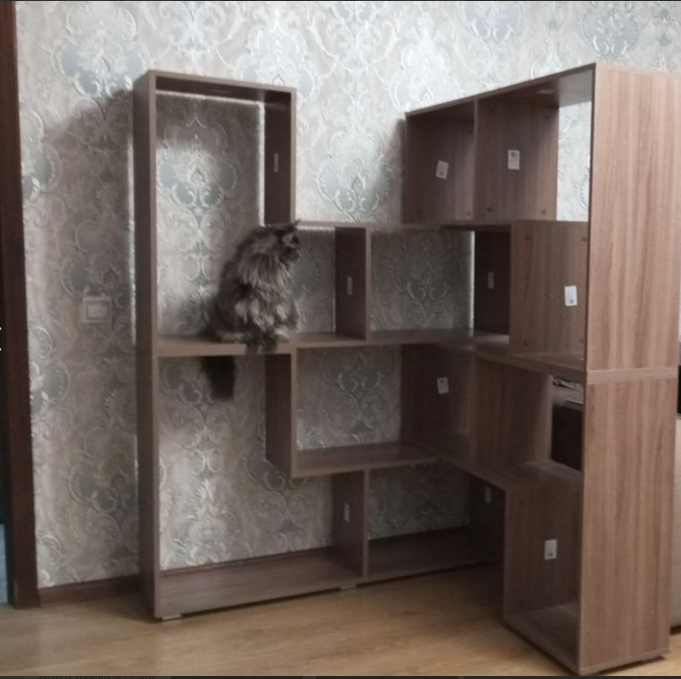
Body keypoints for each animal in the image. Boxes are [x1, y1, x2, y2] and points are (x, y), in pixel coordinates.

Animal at [203, 221, 301, 399]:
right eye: (294, 247)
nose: (300, 255)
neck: (271, 267)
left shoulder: (275, 302)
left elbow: (271, 322)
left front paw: (271, 337)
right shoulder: (248, 301)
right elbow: (253, 323)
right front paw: (255, 338)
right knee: (229, 333)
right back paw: (239, 337)